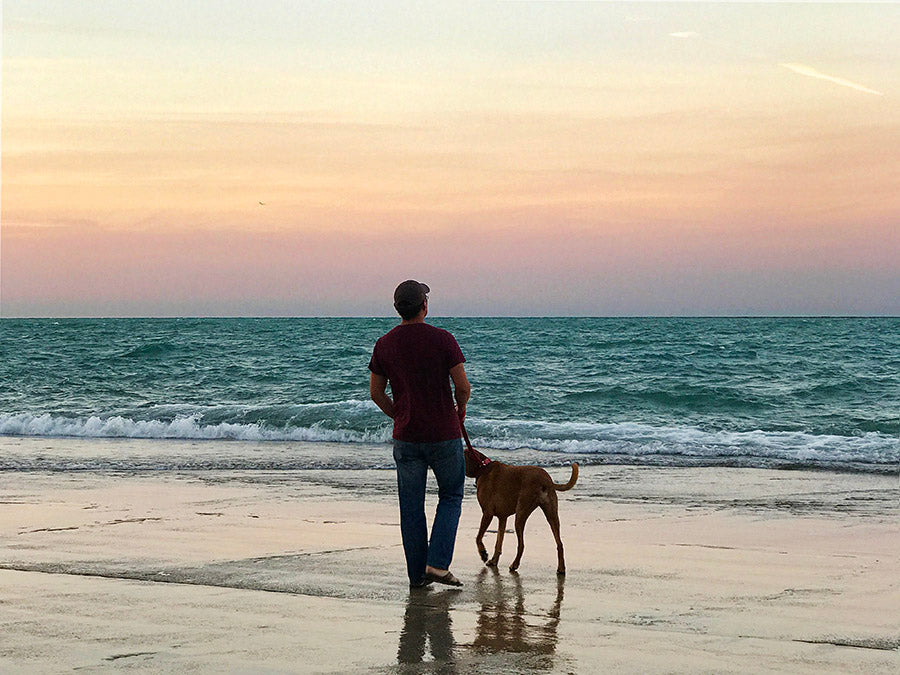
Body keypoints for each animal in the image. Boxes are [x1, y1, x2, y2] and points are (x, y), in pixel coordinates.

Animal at [468, 448, 580, 576]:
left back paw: (514, 564)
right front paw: (494, 560)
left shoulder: (487, 513)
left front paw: (483, 553)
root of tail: (545, 480)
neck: (483, 467)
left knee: (521, 545)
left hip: (521, 514)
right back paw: (561, 568)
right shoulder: (502, 518)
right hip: (552, 514)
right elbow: (498, 542)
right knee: (559, 543)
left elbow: (478, 537)